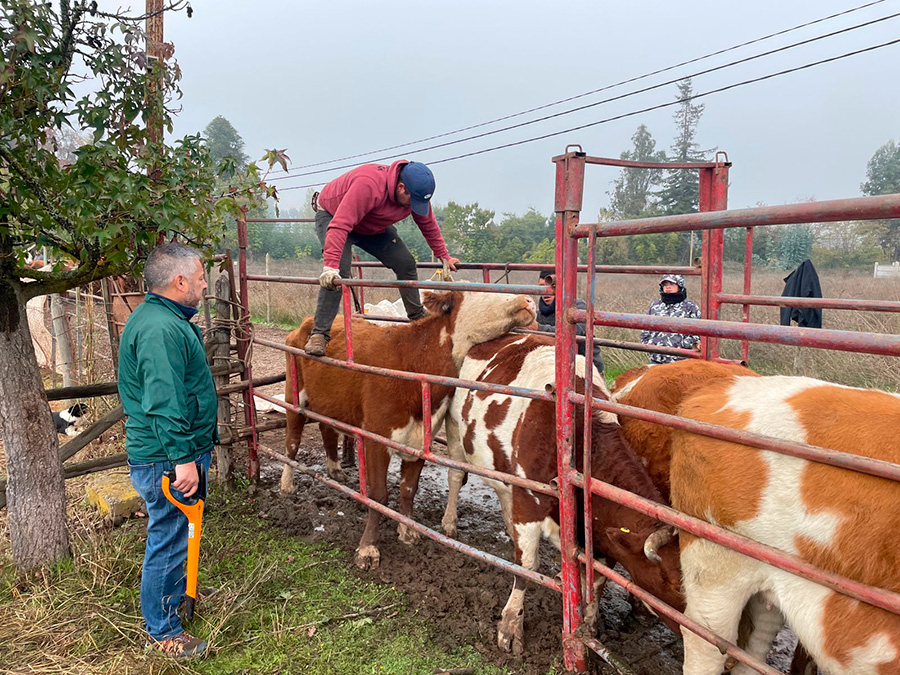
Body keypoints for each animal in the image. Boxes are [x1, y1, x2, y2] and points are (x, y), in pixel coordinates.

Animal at [281, 290, 537, 571]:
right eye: (479, 292)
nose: (529, 300)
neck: (414, 362)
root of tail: (305, 323)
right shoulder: (376, 438)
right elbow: (378, 496)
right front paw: (367, 548)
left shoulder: (419, 441)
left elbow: (408, 491)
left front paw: (407, 531)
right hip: (294, 394)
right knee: (292, 441)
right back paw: (287, 484)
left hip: (331, 401)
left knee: (327, 428)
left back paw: (335, 469)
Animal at [441, 334, 684, 654]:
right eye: (674, 582)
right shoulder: (530, 502)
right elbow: (526, 565)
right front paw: (511, 625)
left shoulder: (599, 534)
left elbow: (595, 580)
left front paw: (589, 626)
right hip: (455, 430)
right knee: (456, 476)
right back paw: (449, 523)